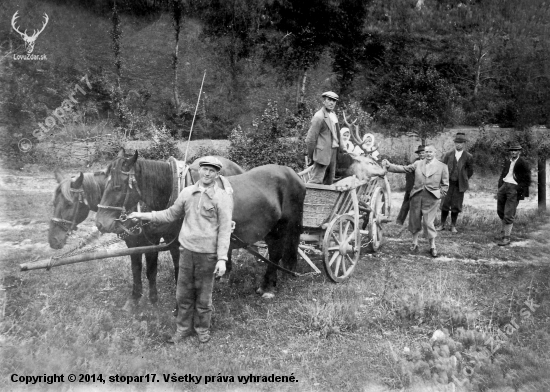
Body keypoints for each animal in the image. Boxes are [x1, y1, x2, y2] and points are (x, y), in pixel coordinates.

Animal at [96, 150, 308, 298]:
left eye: (118, 187)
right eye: (103, 184)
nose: (100, 223)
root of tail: (293, 174)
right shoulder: (174, 245)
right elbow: (177, 271)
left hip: (283, 226)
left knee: (276, 252)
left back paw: (268, 288)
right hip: (271, 228)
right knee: (274, 250)